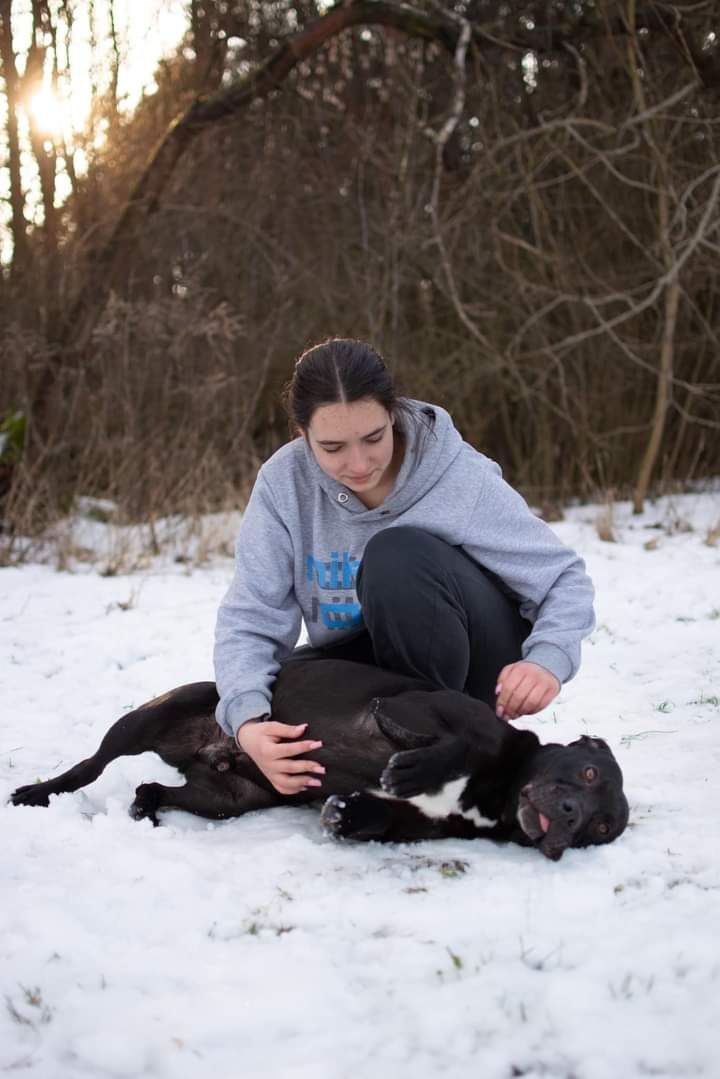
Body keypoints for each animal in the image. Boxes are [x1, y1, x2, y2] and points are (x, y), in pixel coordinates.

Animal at [11, 656, 630, 858]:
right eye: (587, 771)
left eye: (601, 828)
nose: (571, 815)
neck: (494, 791)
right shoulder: (409, 707)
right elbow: (457, 743)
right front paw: (416, 767)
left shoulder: (407, 822)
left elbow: (371, 817)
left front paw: (345, 815)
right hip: (150, 719)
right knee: (91, 765)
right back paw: (37, 792)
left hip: (226, 799)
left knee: (161, 789)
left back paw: (147, 808)